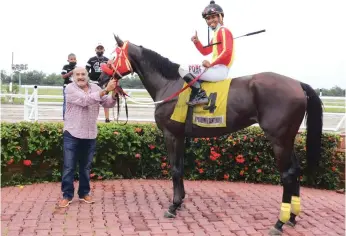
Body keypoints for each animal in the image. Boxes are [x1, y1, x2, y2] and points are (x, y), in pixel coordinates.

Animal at [98, 34, 324, 235]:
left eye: (114, 55)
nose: (100, 77)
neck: (170, 85)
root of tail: (297, 83)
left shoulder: (171, 134)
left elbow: (175, 169)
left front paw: (173, 206)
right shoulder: (181, 136)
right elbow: (180, 168)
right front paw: (180, 202)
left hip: (278, 139)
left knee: (287, 174)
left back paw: (279, 222)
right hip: (288, 138)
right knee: (295, 169)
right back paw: (292, 217)